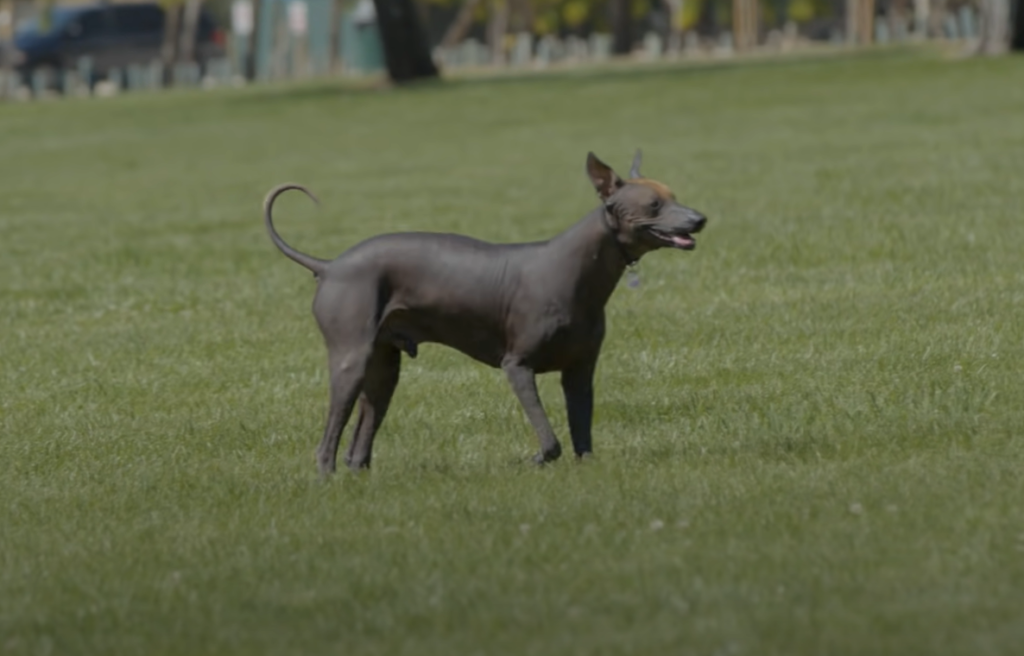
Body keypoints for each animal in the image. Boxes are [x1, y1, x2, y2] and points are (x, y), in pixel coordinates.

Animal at [264, 151, 708, 472]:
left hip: (383, 368)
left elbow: (581, 435)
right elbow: (550, 439)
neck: (578, 270)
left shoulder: (580, 374)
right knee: (328, 440)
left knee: (361, 437)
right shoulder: (517, 367)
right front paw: (534, 459)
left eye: (673, 196)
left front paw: (586, 470)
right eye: (654, 204)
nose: (700, 218)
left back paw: (358, 475)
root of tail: (330, 265)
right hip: (349, 361)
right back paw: (327, 479)